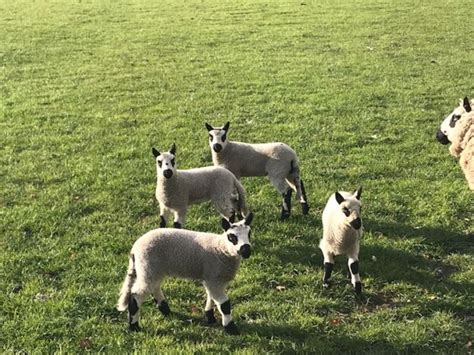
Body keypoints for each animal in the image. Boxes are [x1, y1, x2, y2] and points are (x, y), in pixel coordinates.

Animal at [116, 214, 254, 336]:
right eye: (232, 237)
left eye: (249, 233)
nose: (246, 251)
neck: (221, 248)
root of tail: (135, 248)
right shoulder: (214, 278)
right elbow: (224, 305)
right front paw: (231, 329)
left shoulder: (211, 278)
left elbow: (211, 297)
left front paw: (210, 317)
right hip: (148, 265)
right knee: (136, 295)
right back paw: (134, 327)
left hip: (152, 269)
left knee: (154, 288)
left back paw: (166, 311)